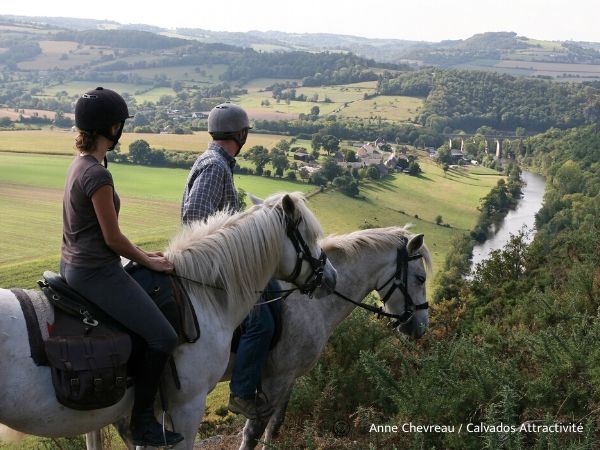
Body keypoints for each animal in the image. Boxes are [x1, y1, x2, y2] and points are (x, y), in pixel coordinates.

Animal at [236, 227, 432, 448]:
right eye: (421, 278)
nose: (422, 326)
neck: (309, 302)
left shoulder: (289, 377)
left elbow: (275, 425)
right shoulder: (275, 380)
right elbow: (252, 434)